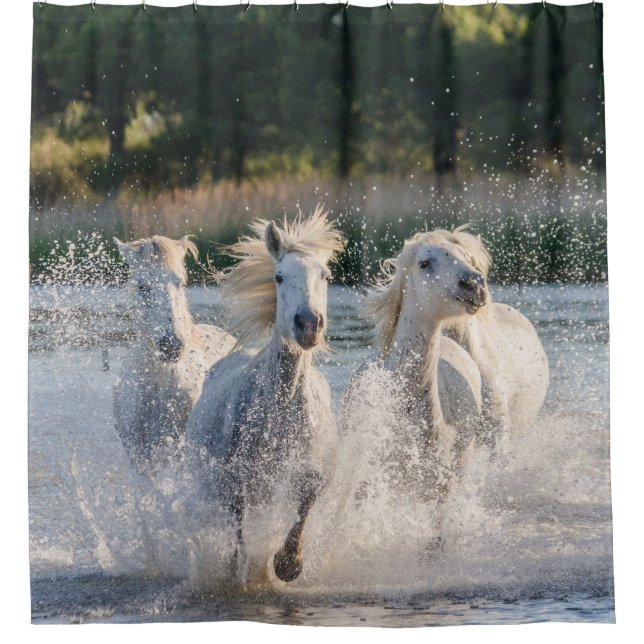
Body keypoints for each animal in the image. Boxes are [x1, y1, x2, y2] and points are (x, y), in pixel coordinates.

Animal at [186, 207, 344, 583]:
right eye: (279, 277)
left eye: (326, 275)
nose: (308, 324)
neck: (279, 413)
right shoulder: (233, 481)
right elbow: (239, 538)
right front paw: (240, 570)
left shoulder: (312, 474)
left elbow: (304, 507)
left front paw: (288, 564)